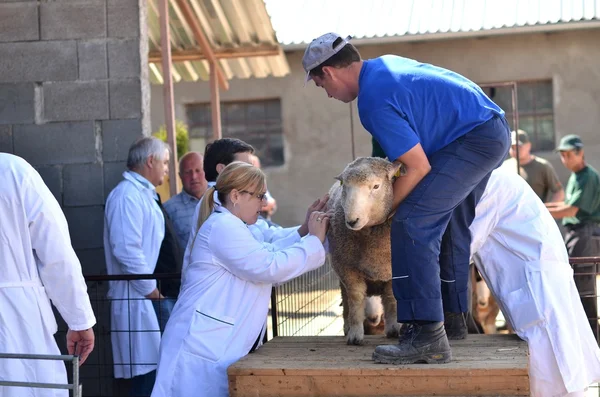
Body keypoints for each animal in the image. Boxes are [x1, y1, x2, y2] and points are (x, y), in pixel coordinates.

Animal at [326, 155, 406, 344]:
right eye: (344, 185)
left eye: (376, 186)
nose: (352, 220)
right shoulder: (347, 270)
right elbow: (355, 299)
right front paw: (355, 334)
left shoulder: (392, 271)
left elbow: (391, 298)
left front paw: (394, 328)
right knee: (346, 301)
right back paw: (347, 326)